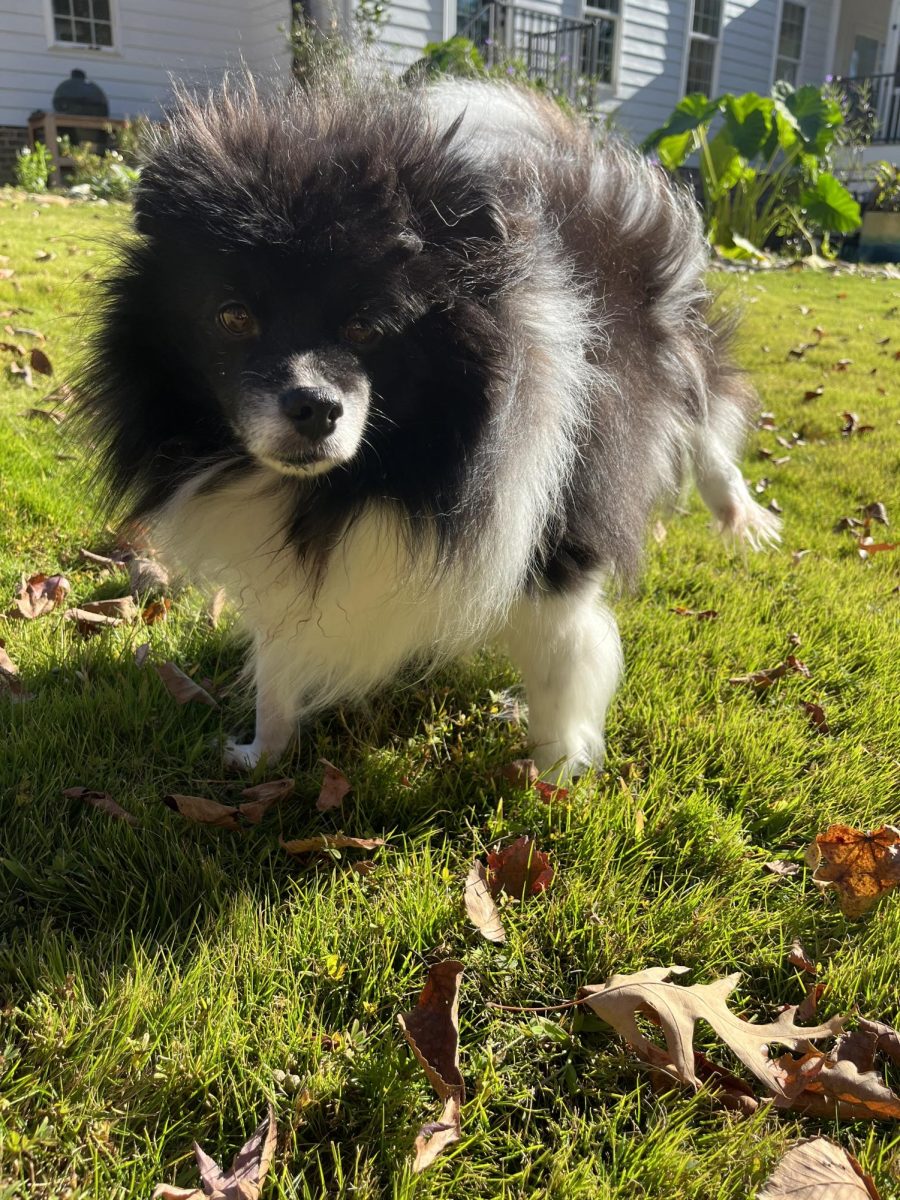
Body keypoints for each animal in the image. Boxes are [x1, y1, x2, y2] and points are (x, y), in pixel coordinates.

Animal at [79, 75, 782, 782]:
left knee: (710, 435)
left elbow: (560, 667)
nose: (314, 406)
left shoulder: (553, 547)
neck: (363, 481)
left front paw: (551, 777)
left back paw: (741, 517)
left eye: (368, 326)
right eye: (233, 316)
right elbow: (278, 668)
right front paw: (261, 753)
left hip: (684, 361)